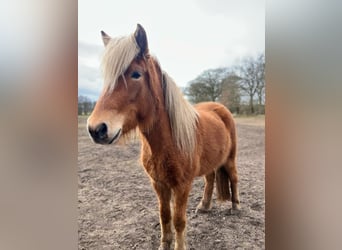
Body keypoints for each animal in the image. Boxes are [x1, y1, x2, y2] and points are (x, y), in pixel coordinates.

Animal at [87, 23, 240, 250]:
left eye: (136, 74)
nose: (96, 129)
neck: (167, 143)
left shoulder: (182, 185)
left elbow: (178, 220)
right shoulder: (158, 184)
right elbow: (164, 216)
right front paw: (164, 244)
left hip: (230, 159)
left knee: (234, 178)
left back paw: (236, 207)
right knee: (210, 178)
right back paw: (204, 206)